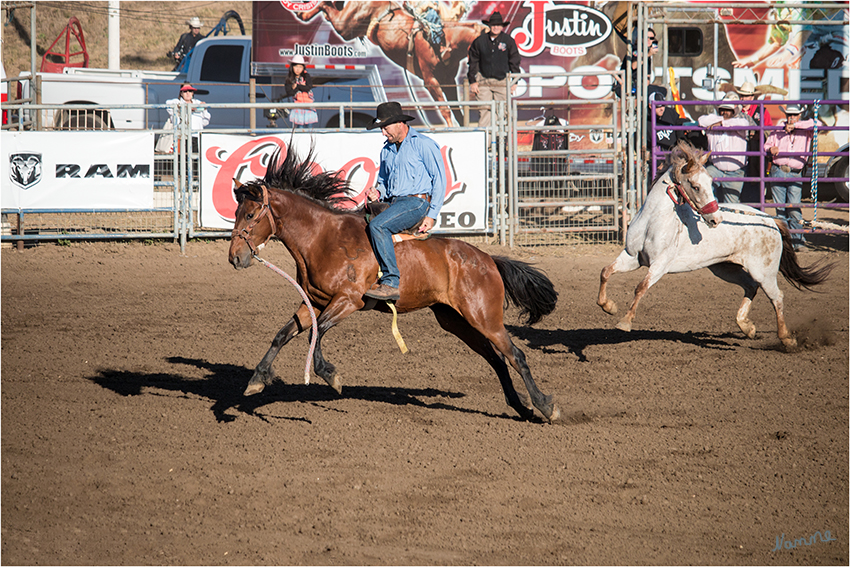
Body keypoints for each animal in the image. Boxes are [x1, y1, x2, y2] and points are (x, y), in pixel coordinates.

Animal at [229, 146, 560, 422]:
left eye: (250, 214)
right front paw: (257, 379)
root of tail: (488, 259)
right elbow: (282, 335)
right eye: (235, 213)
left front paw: (329, 374)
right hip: (456, 321)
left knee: (515, 356)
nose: (235, 257)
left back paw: (546, 406)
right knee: (497, 360)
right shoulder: (314, 302)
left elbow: (317, 332)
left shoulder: (348, 300)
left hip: (485, 317)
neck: (324, 238)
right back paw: (521, 407)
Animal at [298, 0, 484, 125]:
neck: (446, 41)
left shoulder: (448, 81)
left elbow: (457, 110)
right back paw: (304, 14)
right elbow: (446, 109)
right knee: (328, 8)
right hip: (347, 25)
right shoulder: (430, 80)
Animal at [596, 142, 828, 350]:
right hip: (725, 268)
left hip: (764, 272)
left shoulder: (660, 265)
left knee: (776, 297)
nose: (715, 219)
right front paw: (608, 306)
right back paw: (746, 327)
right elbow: (605, 272)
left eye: (711, 183)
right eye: (696, 186)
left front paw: (625, 322)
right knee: (750, 286)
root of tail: (771, 221)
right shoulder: (632, 257)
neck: (652, 221)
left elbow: (641, 287)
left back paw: (787, 339)